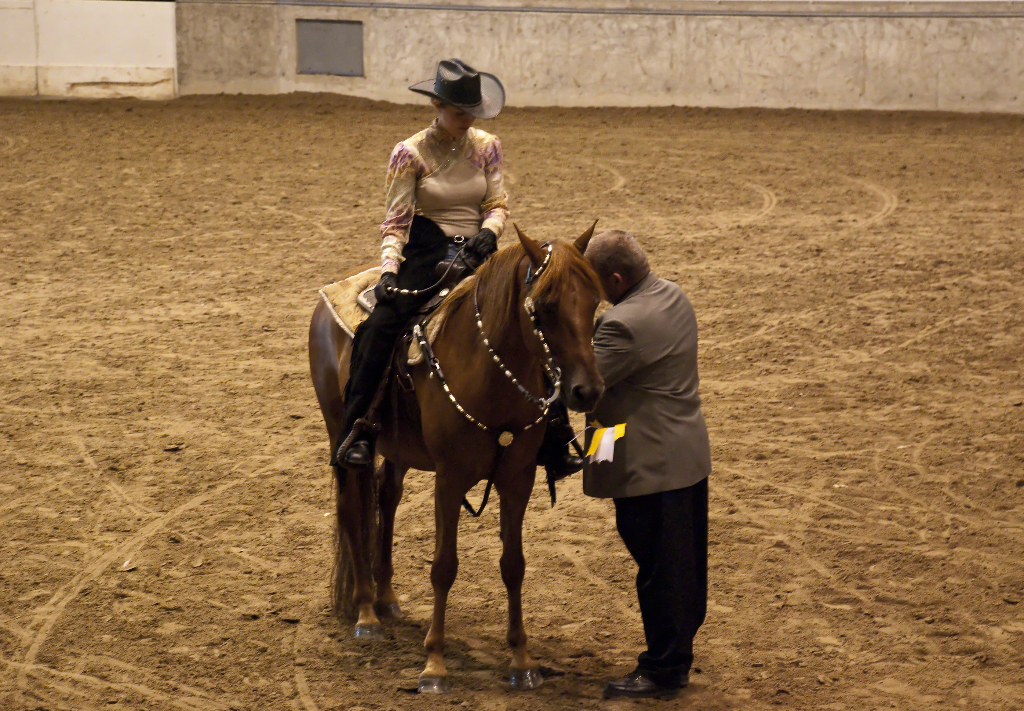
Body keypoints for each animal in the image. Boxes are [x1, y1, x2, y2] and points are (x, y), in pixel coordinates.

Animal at [307, 225, 602, 692]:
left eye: (593, 301)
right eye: (545, 307)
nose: (587, 391)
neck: (489, 373)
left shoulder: (518, 478)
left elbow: (514, 564)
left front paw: (522, 661)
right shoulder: (449, 479)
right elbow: (444, 566)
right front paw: (434, 665)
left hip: (398, 448)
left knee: (387, 498)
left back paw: (387, 599)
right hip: (339, 429)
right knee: (352, 508)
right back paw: (367, 613)